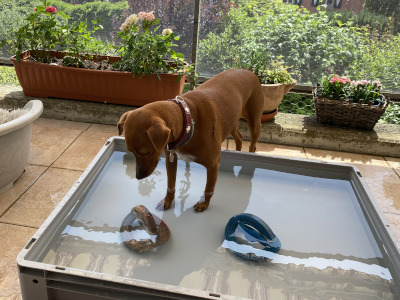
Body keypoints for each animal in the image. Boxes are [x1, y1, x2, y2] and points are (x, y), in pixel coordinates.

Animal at [117, 69, 264, 212]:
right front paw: (167, 200)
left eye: (147, 152)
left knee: (253, 144)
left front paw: (204, 203)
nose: (138, 176)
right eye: (131, 151)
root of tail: (248, 71)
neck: (189, 121)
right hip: (232, 121)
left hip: (254, 121)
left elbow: (208, 189)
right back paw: (238, 150)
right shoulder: (171, 159)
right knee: (239, 137)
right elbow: (171, 184)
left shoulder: (213, 165)